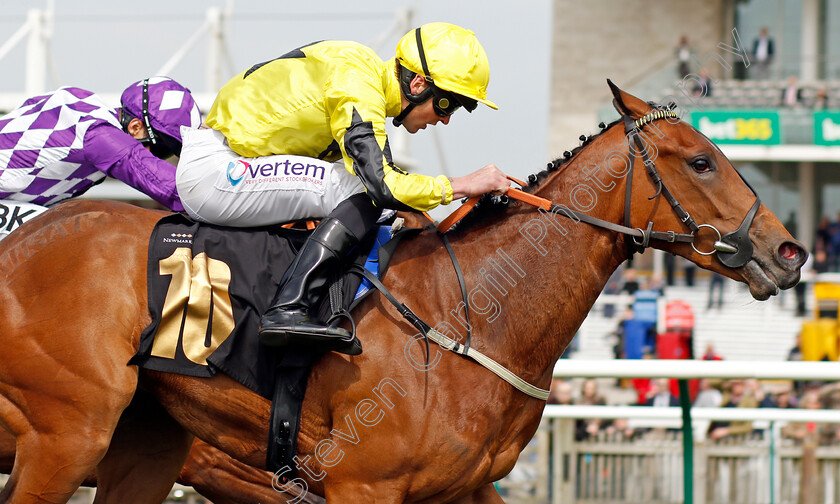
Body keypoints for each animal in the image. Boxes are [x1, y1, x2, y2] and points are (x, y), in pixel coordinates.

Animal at [0, 83, 808, 504]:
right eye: (702, 161)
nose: (790, 252)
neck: (473, 316)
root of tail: (19, 247)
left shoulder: (467, 489)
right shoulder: (363, 488)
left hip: (146, 439)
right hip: (68, 432)